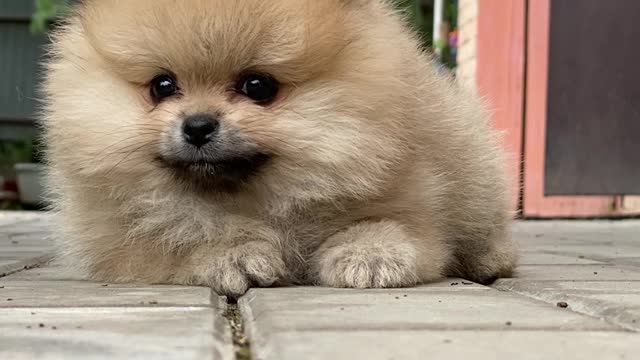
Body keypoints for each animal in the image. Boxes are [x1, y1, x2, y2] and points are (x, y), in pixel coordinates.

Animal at [41, 0, 516, 296]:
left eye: (258, 86)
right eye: (162, 86)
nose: (198, 125)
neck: (255, 201)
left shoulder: (415, 198)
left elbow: (391, 226)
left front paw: (369, 255)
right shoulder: (116, 244)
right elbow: (173, 240)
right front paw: (230, 253)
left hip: (472, 168)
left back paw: (489, 260)